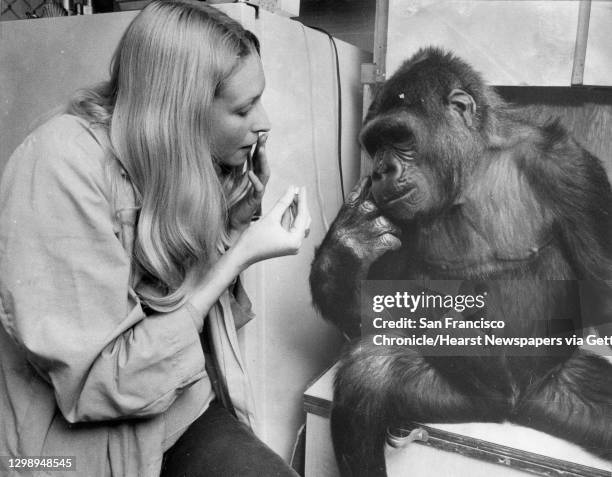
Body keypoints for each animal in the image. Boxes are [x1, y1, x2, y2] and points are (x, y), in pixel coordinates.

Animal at [310, 46, 612, 474]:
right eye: (374, 144)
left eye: (398, 136)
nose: (381, 170)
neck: (473, 168)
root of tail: (514, 410)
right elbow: (371, 313)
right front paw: (347, 247)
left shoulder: (572, 169)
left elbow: (603, 291)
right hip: (461, 398)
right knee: (369, 373)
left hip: (553, 385)